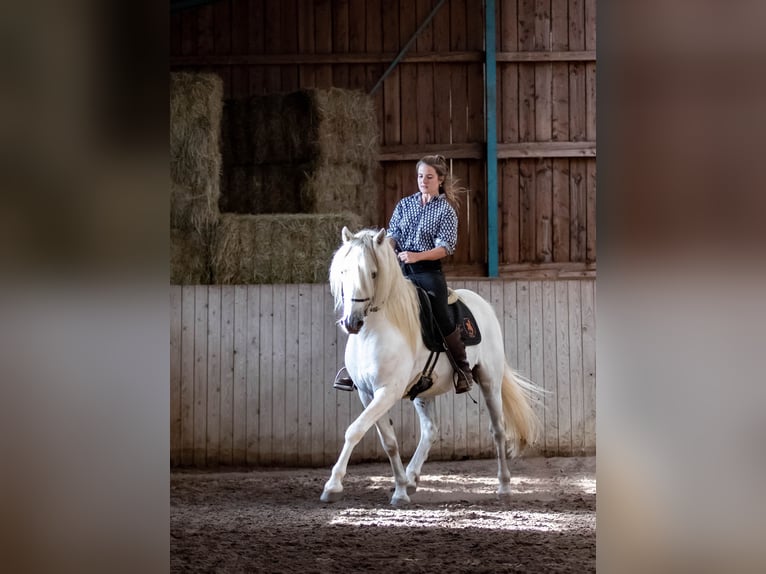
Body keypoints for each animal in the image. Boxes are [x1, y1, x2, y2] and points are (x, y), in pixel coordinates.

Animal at [324, 227, 544, 506]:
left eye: (373, 273)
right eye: (343, 271)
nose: (352, 322)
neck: (375, 331)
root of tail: (482, 305)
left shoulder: (387, 391)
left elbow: (355, 430)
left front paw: (333, 486)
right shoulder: (367, 393)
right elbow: (389, 442)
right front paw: (400, 490)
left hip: (489, 381)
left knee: (498, 431)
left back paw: (504, 486)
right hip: (424, 392)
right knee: (430, 430)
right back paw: (411, 479)